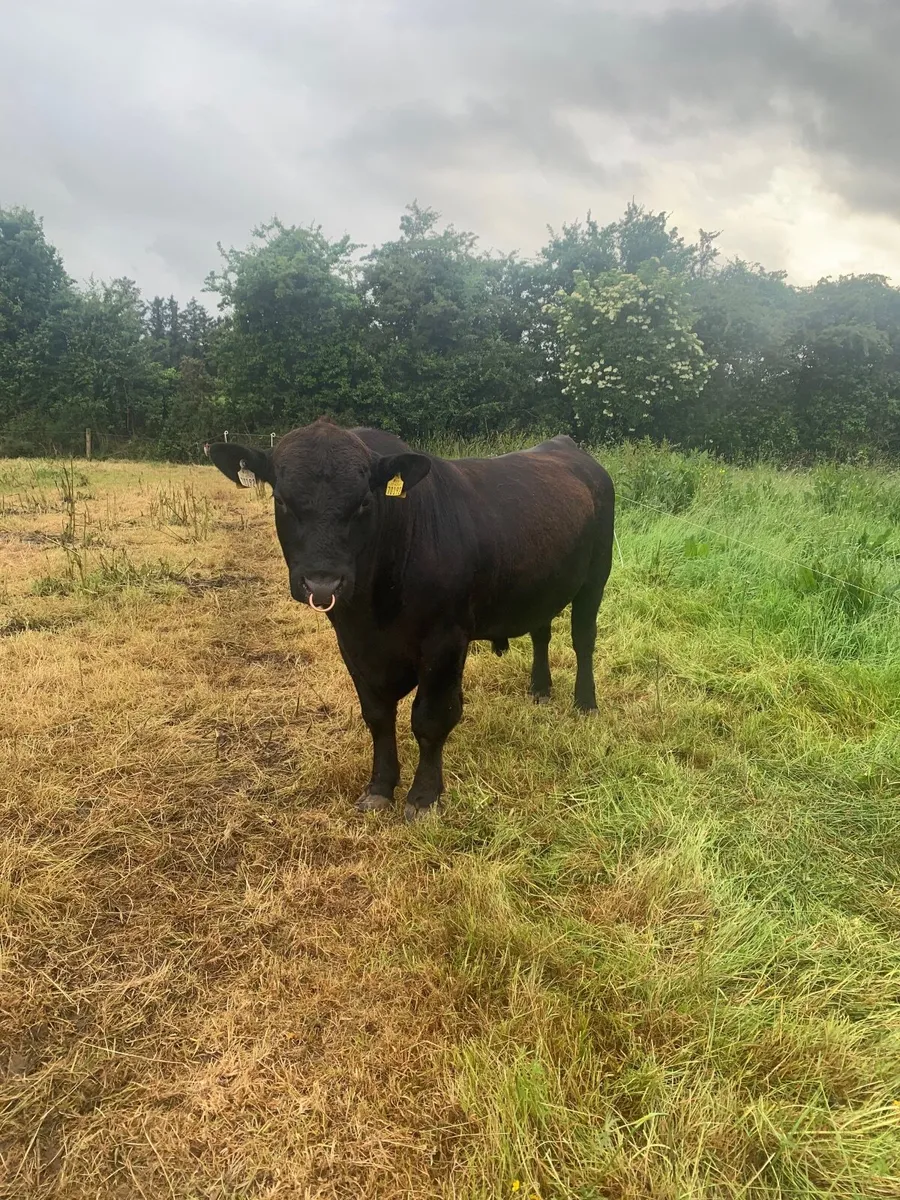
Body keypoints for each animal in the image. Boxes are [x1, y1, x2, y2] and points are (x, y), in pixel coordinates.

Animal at [208, 419, 614, 822]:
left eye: (364, 502)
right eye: (281, 500)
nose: (322, 583)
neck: (375, 610)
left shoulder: (445, 641)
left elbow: (431, 718)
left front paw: (424, 796)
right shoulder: (352, 644)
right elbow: (377, 716)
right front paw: (379, 787)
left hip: (596, 577)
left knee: (583, 639)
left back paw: (585, 703)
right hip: (542, 586)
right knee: (541, 632)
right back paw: (540, 689)